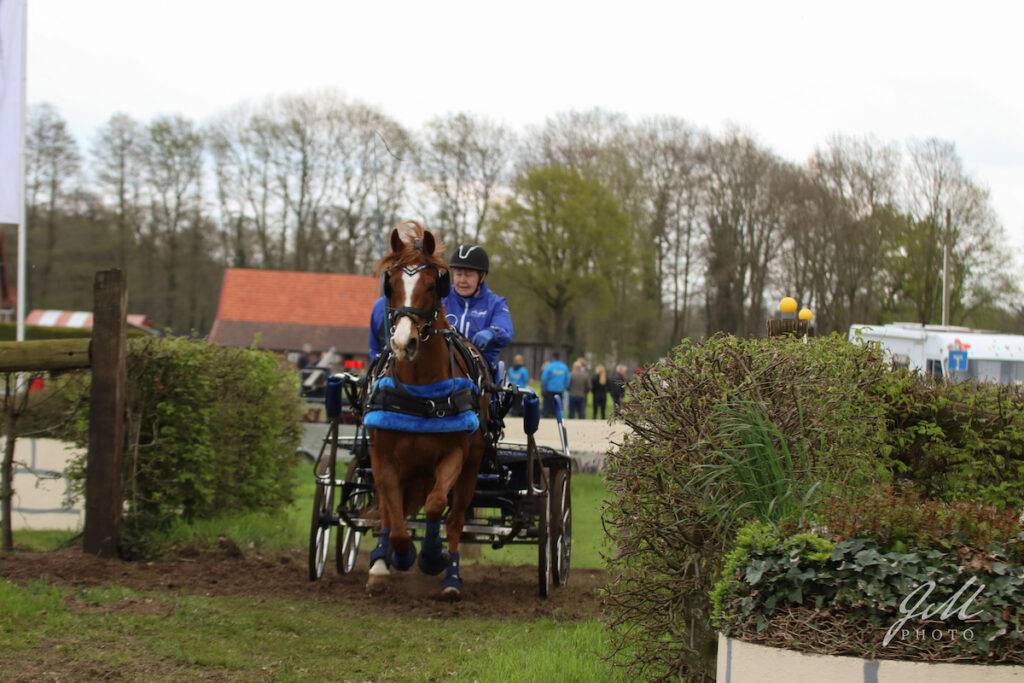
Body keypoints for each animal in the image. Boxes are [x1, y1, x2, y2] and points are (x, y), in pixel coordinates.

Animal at [363, 221, 491, 599]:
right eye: (390, 284)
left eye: (433, 285)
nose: (403, 343)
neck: (420, 390)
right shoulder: (383, 458)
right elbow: (395, 520)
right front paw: (395, 557)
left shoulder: (455, 456)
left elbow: (436, 506)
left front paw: (432, 557)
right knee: (391, 513)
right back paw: (381, 561)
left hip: (471, 465)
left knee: (455, 518)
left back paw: (451, 577)